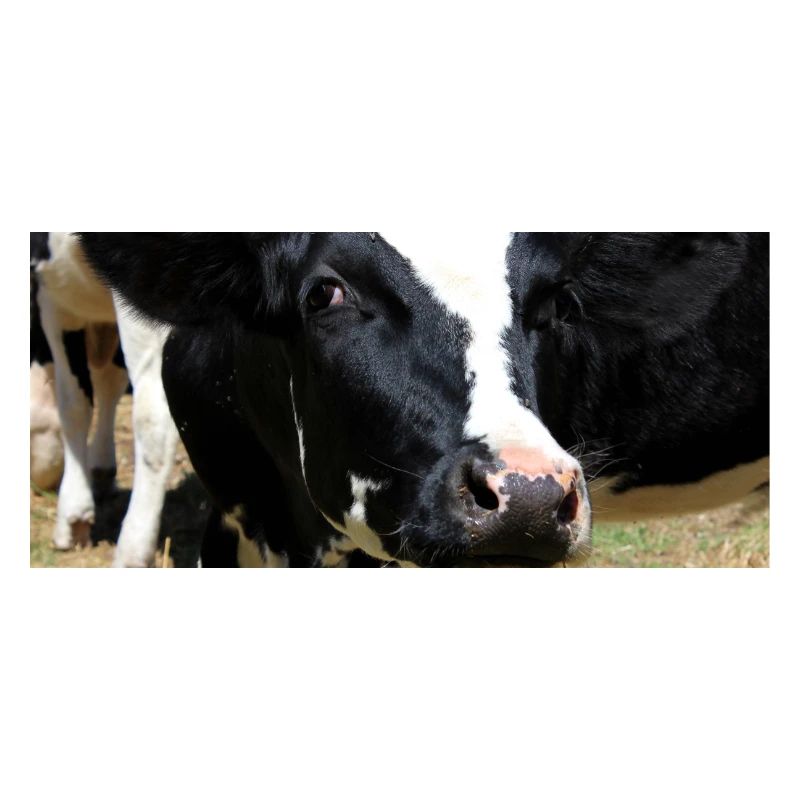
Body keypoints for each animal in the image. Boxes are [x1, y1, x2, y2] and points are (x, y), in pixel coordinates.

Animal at [31, 233, 179, 567]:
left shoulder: (55, 296)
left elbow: (73, 405)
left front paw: (73, 516)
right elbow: (109, 382)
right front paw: (100, 470)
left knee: (154, 419)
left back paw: (132, 550)